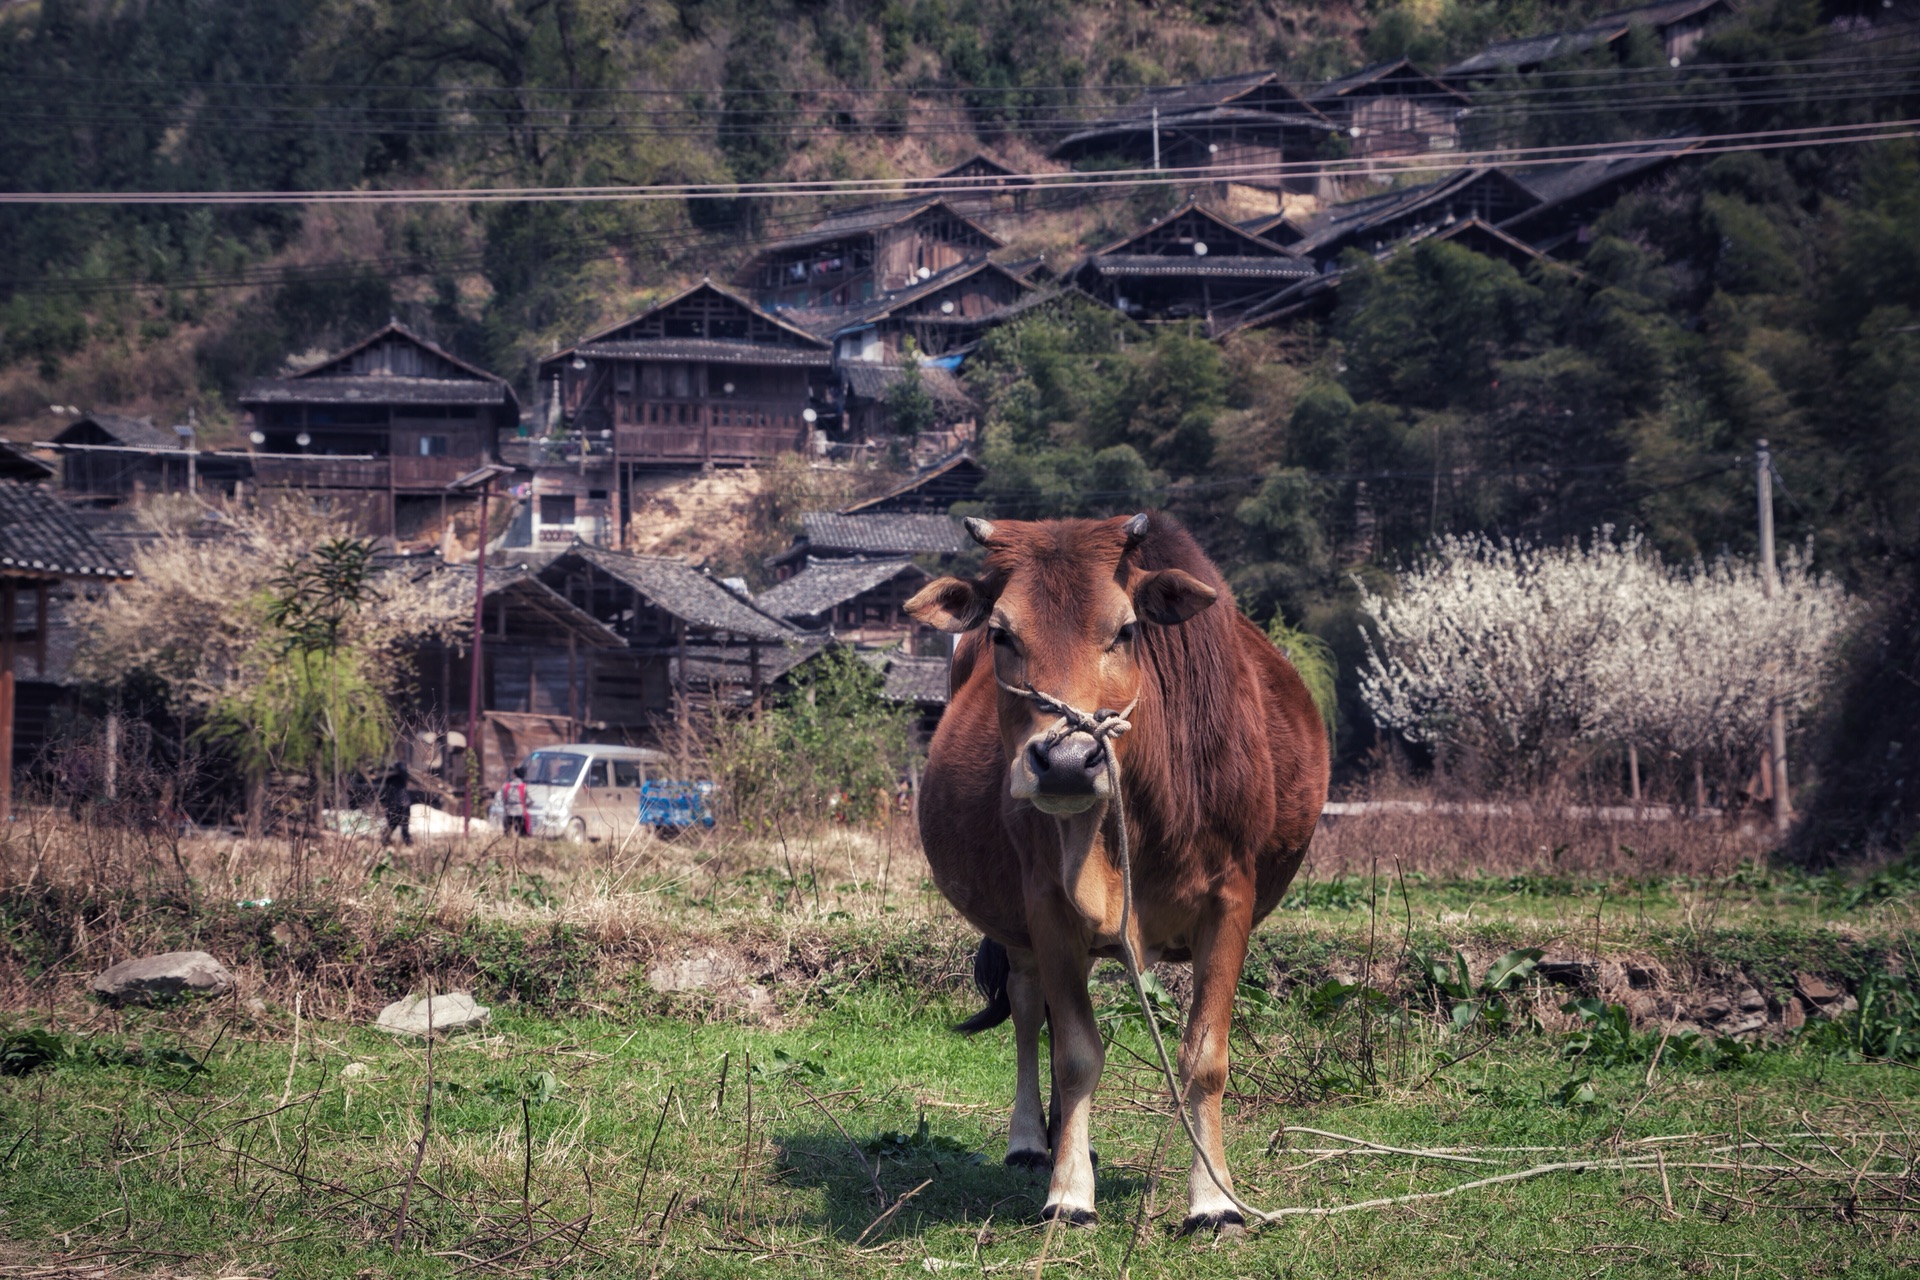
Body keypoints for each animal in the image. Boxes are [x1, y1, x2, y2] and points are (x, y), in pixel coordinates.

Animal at [906, 510, 1328, 1228]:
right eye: (1001, 633)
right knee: (1029, 1011)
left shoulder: (1231, 900)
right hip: (1018, 933)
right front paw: (1069, 1191)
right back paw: (1032, 1141)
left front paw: (1214, 1199)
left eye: (1127, 630)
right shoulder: (1046, 906)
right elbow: (1077, 1053)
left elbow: (1204, 1059)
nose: (1067, 763)